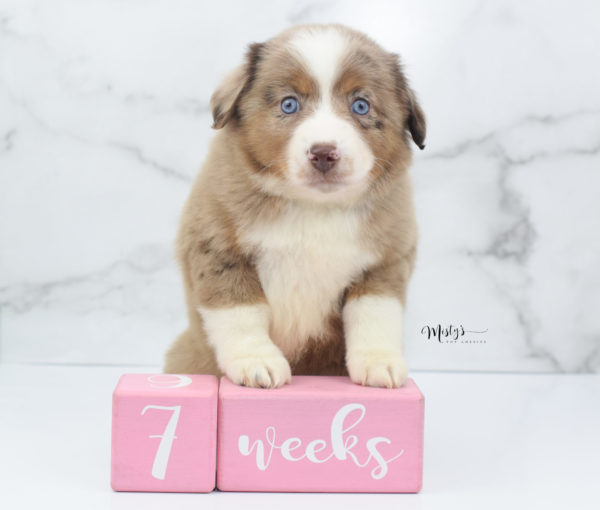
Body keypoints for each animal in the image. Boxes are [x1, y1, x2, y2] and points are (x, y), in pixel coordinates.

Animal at [163, 23, 426, 388]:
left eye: (361, 106)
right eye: (289, 104)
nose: (324, 153)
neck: (314, 206)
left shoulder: (385, 261)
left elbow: (374, 315)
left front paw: (379, 362)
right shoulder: (217, 247)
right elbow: (241, 313)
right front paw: (256, 362)